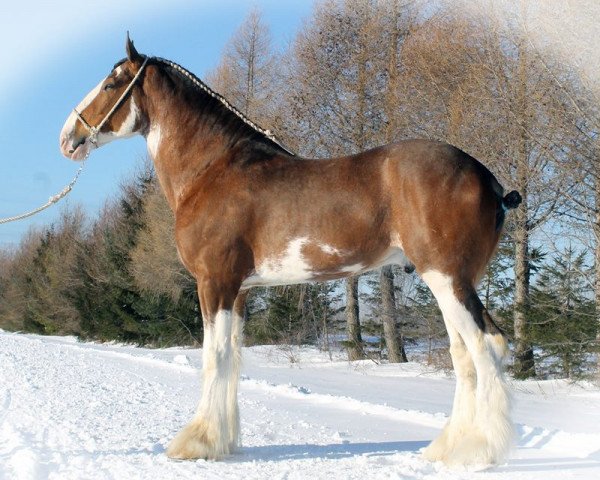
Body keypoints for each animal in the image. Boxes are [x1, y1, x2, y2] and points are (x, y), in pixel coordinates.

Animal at [59, 38, 520, 468]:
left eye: (112, 83)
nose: (68, 138)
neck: (212, 170)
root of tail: (489, 180)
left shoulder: (214, 283)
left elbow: (214, 357)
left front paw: (197, 442)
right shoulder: (239, 291)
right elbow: (232, 359)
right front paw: (224, 441)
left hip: (446, 277)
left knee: (487, 345)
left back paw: (478, 451)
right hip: (449, 282)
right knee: (463, 355)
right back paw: (446, 448)